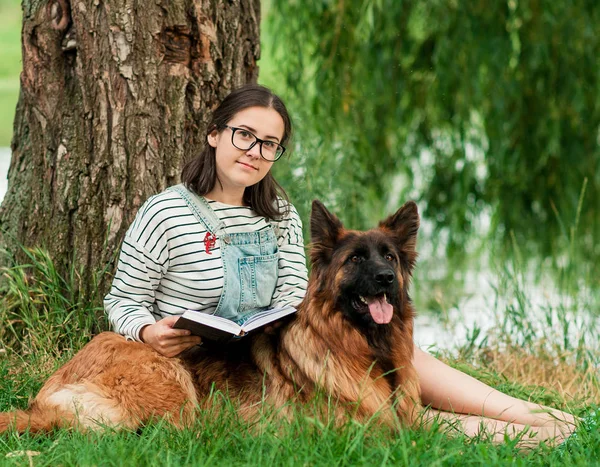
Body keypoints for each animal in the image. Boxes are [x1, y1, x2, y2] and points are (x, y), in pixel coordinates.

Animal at [0, 199, 422, 434]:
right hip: (171, 380)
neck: (368, 347)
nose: (386, 278)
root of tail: (49, 395)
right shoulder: (348, 429)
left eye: (389, 256)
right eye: (355, 259)